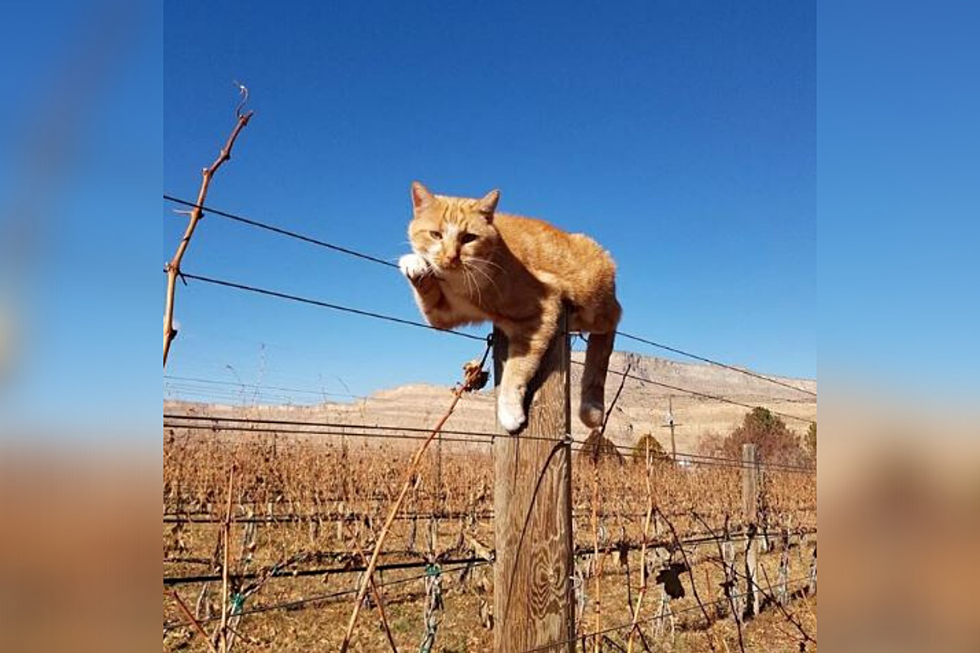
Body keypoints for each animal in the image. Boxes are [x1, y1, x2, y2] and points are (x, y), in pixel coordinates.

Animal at [398, 181, 620, 432]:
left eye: (469, 238)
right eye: (436, 235)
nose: (451, 257)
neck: (462, 283)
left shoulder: (542, 311)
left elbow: (517, 369)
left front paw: (509, 412)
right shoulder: (443, 314)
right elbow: (428, 295)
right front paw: (415, 262)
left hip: (593, 300)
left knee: (613, 320)